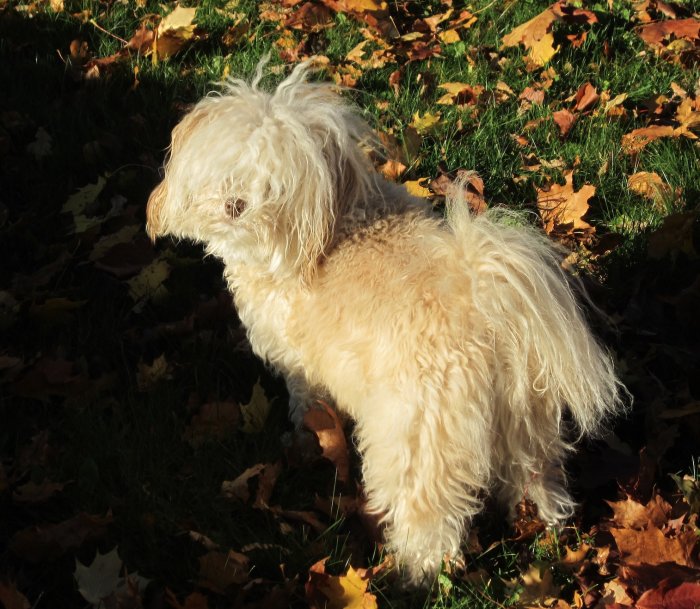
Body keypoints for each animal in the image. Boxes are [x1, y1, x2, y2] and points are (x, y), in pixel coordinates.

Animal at [146, 58, 624, 584]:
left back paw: (414, 574)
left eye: (273, 187)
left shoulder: (302, 365)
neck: (337, 219)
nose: (234, 207)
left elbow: (305, 404)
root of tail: (481, 307)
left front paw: (302, 438)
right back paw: (543, 522)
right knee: (537, 479)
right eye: (225, 173)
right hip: (526, 424)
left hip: (416, 442)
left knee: (427, 519)